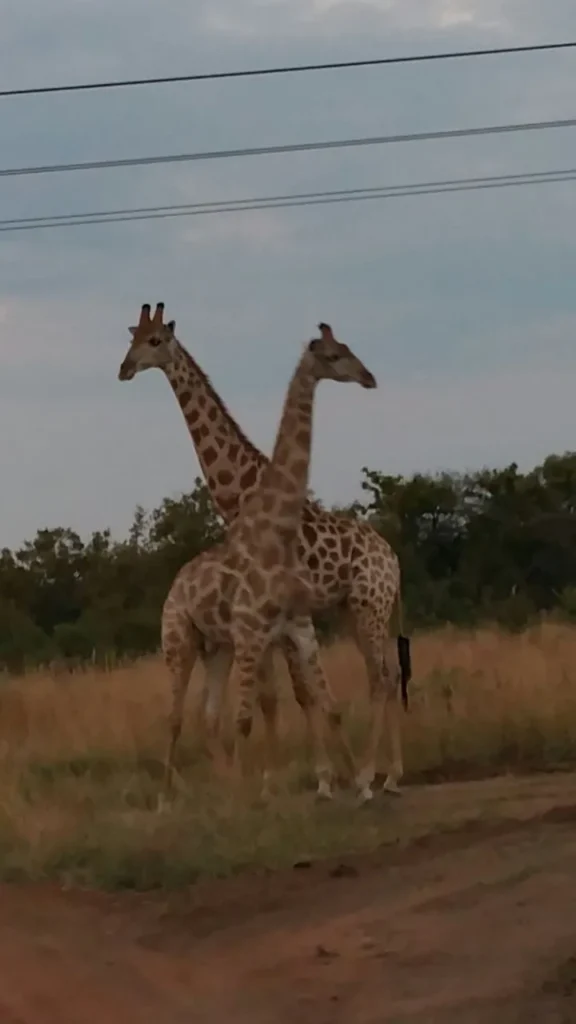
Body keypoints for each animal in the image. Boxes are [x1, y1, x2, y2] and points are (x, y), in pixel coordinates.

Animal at [118, 303, 411, 802]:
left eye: (155, 341)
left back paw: (377, 774)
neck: (241, 494)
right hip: (357, 610)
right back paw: (389, 773)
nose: (124, 368)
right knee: (386, 675)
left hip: (367, 605)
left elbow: (287, 697)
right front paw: (314, 779)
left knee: (382, 678)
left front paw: (314, 779)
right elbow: (291, 697)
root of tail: (390, 555)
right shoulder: (277, 622)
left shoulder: (284, 620)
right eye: (131, 336)